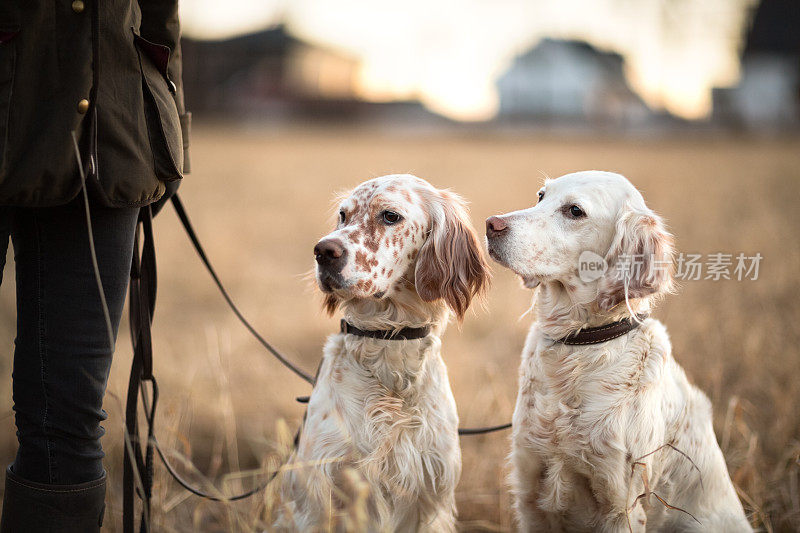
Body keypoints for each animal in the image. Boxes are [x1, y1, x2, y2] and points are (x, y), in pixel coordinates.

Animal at [484, 171, 752, 532]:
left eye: (575, 211)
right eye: (541, 196)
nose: (491, 224)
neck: (579, 346)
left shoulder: (621, 504)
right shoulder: (530, 492)